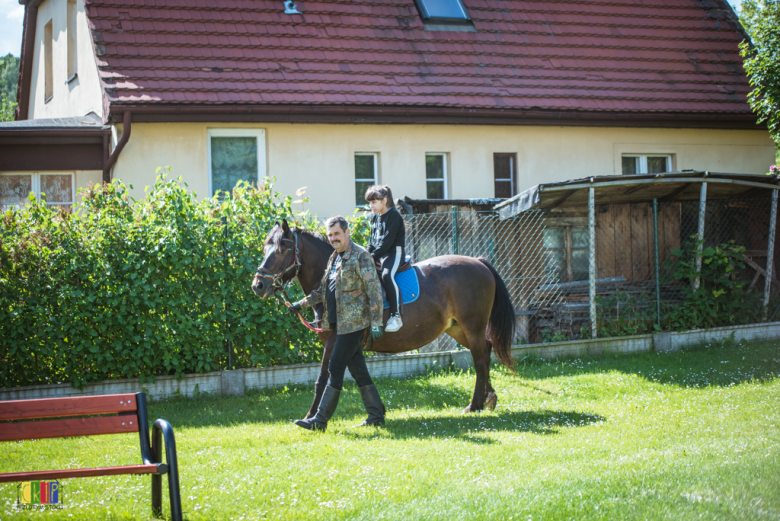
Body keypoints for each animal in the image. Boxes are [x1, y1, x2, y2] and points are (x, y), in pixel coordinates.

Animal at [253, 217, 516, 416]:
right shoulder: (350, 344)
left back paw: (475, 404)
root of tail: (479, 262)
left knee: (480, 359)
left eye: (283, 249)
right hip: (457, 328)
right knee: (485, 352)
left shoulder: (334, 343)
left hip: (472, 326)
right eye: (265, 248)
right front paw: (378, 409)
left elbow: (323, 379)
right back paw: (488, 397)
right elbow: (360, 376)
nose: (258, 285)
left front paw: (311, 416)